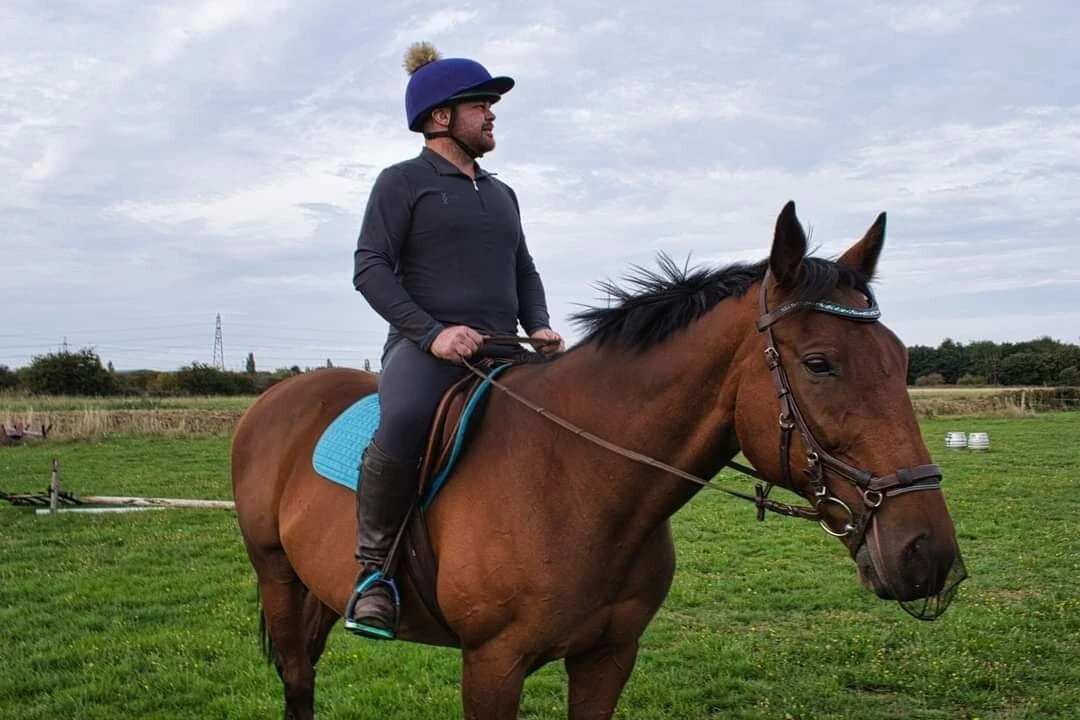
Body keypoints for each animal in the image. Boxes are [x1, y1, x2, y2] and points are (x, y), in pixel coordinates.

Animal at [231, 201, 965, 720]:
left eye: (900, 360)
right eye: (819, 364)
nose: (927, 554)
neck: (579, 483)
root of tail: (276, 400)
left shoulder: (608, 658)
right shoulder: (492, 666)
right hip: (277, 578)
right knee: (298, 682)